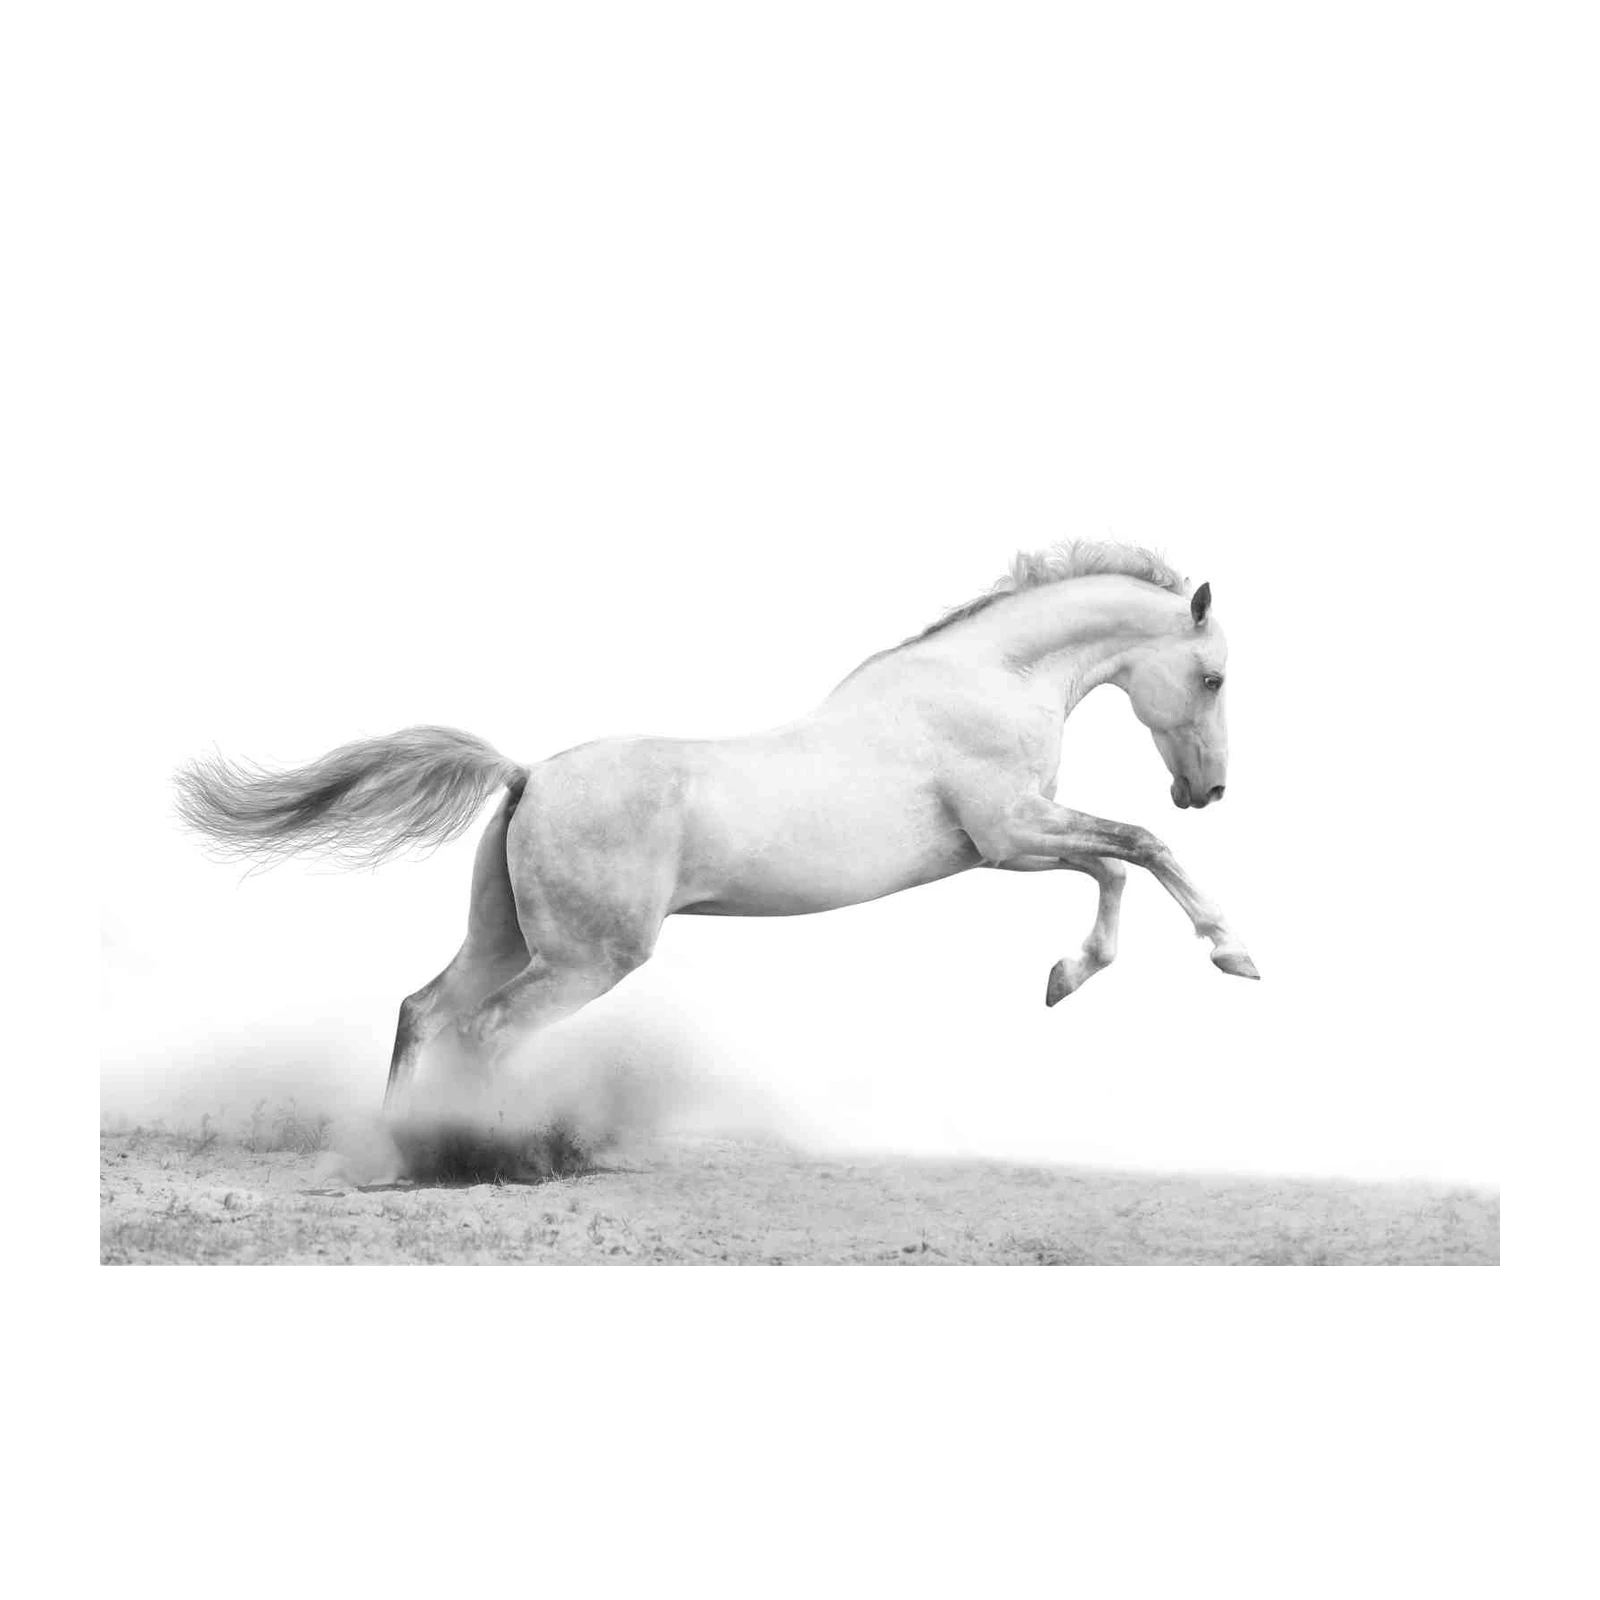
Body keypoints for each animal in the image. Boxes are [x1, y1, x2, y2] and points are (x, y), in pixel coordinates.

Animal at [175, 540, 1258, 1110]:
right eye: (1212, 677)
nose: (1205, 791)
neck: (985, 681)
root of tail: (528, 774)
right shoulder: (1010, 835)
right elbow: (1137, 851)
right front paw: (1231, 953)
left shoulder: (1015, 843)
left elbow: (1116, 866)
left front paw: (1064, 978)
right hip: (585, 959)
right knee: (484, 1031)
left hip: (506, 936)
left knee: (426, 1010)